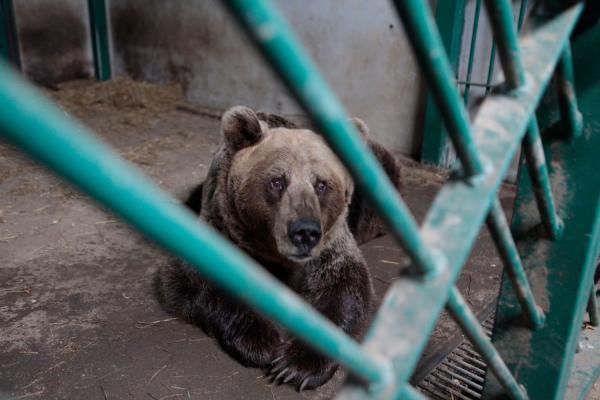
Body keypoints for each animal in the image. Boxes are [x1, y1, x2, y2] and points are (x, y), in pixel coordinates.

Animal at [152, 105, 400, 390]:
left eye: (321, 184)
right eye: (277, 182)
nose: (305, 233)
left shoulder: (331, 242)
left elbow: (345, 285)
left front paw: (297, 365)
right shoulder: (221, 223)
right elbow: (195, 278)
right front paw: (261, 340)